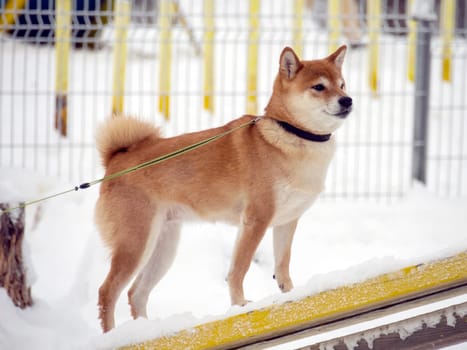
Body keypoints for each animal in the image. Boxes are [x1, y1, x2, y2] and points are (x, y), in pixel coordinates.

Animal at [95, 45, 352, 330]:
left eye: (342, 85)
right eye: (319, 87)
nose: (347, 100)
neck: (291, 135)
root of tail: (116, 159)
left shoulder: (287, 221)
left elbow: (282, 266)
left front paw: (292, 296)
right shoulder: (256, 218)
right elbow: (238, 270)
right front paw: (239, 306)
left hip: (163, 246)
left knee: (136, 293)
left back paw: (144, 330)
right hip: (135, 244)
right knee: (108, 292)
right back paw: (113, 334)